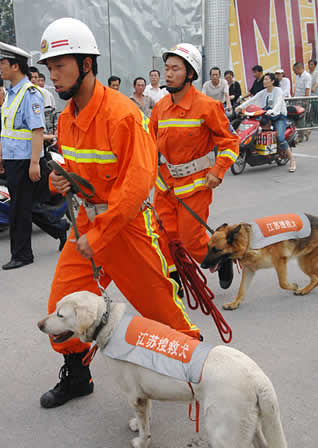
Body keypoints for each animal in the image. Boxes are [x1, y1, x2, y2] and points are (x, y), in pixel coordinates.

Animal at [38, 290, 288, 448]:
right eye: (55, 309)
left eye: (60, 314)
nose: (39, 324)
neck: (107, 323)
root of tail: (259, 379)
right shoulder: (143, 395)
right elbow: (145, 417)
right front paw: (137, 424)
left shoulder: (134, 395)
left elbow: (145, 428)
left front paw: (141, 442)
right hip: (250, 425)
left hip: (224, 430)